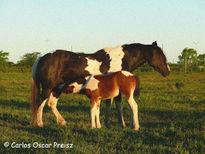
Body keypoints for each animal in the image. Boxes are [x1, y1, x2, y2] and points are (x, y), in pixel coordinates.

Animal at [31, 41, 170, 127]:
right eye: (159, 55)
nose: (168, 71)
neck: (120, 59)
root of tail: (42, 58)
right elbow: (118, 106)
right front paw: (122, 124)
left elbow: (109, 105)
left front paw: (107, 124)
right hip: (48, 88)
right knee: (40, 103)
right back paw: (40, 123)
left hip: (57, 88)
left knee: (51, 104)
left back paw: (62, 122)